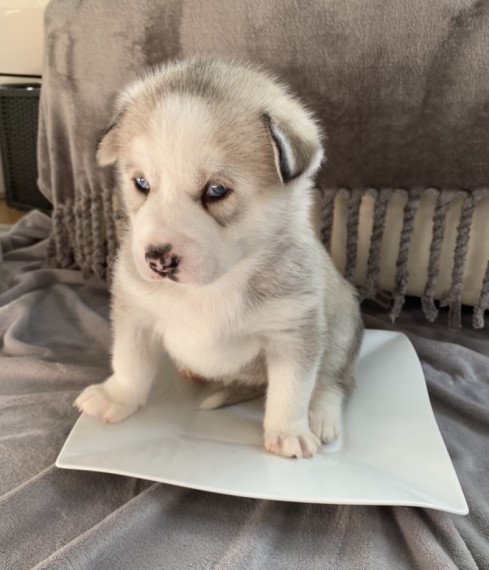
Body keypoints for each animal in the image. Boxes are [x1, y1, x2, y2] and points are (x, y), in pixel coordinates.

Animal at [73, 57, 362, 458]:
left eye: (216, 190)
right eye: (141, 183)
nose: (158, 259)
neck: (213, 285)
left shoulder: (294, 330)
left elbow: (292, 388)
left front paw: (288, 431)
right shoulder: (135, 313)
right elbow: (130, 362)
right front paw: (117, 396)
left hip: (341, 328)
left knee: (334, 381)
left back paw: (321, 415)